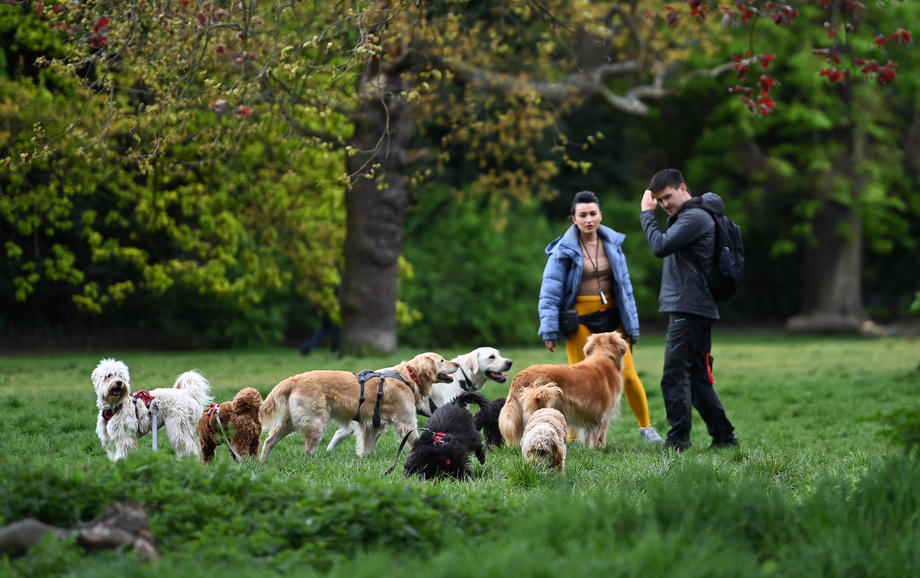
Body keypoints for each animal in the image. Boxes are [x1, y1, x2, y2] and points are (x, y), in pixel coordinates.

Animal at [256, 352, 458, 460]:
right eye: (442, 360)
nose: (456, 363)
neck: (408, 377)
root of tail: (294, 378)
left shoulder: (372, 425)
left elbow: (366, 447)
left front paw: (364, 458)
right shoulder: (406, 421)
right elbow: (415, 440)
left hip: (288, 422)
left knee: (269, 440)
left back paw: (261, 461)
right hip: (316, 422)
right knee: (308, 449)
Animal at [500, 330, 628, 448]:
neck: (604, 356)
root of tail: (520, 375)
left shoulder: (589, 417)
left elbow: (588, 434)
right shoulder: (603, 415)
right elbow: (600, 435)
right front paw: (599, 448)